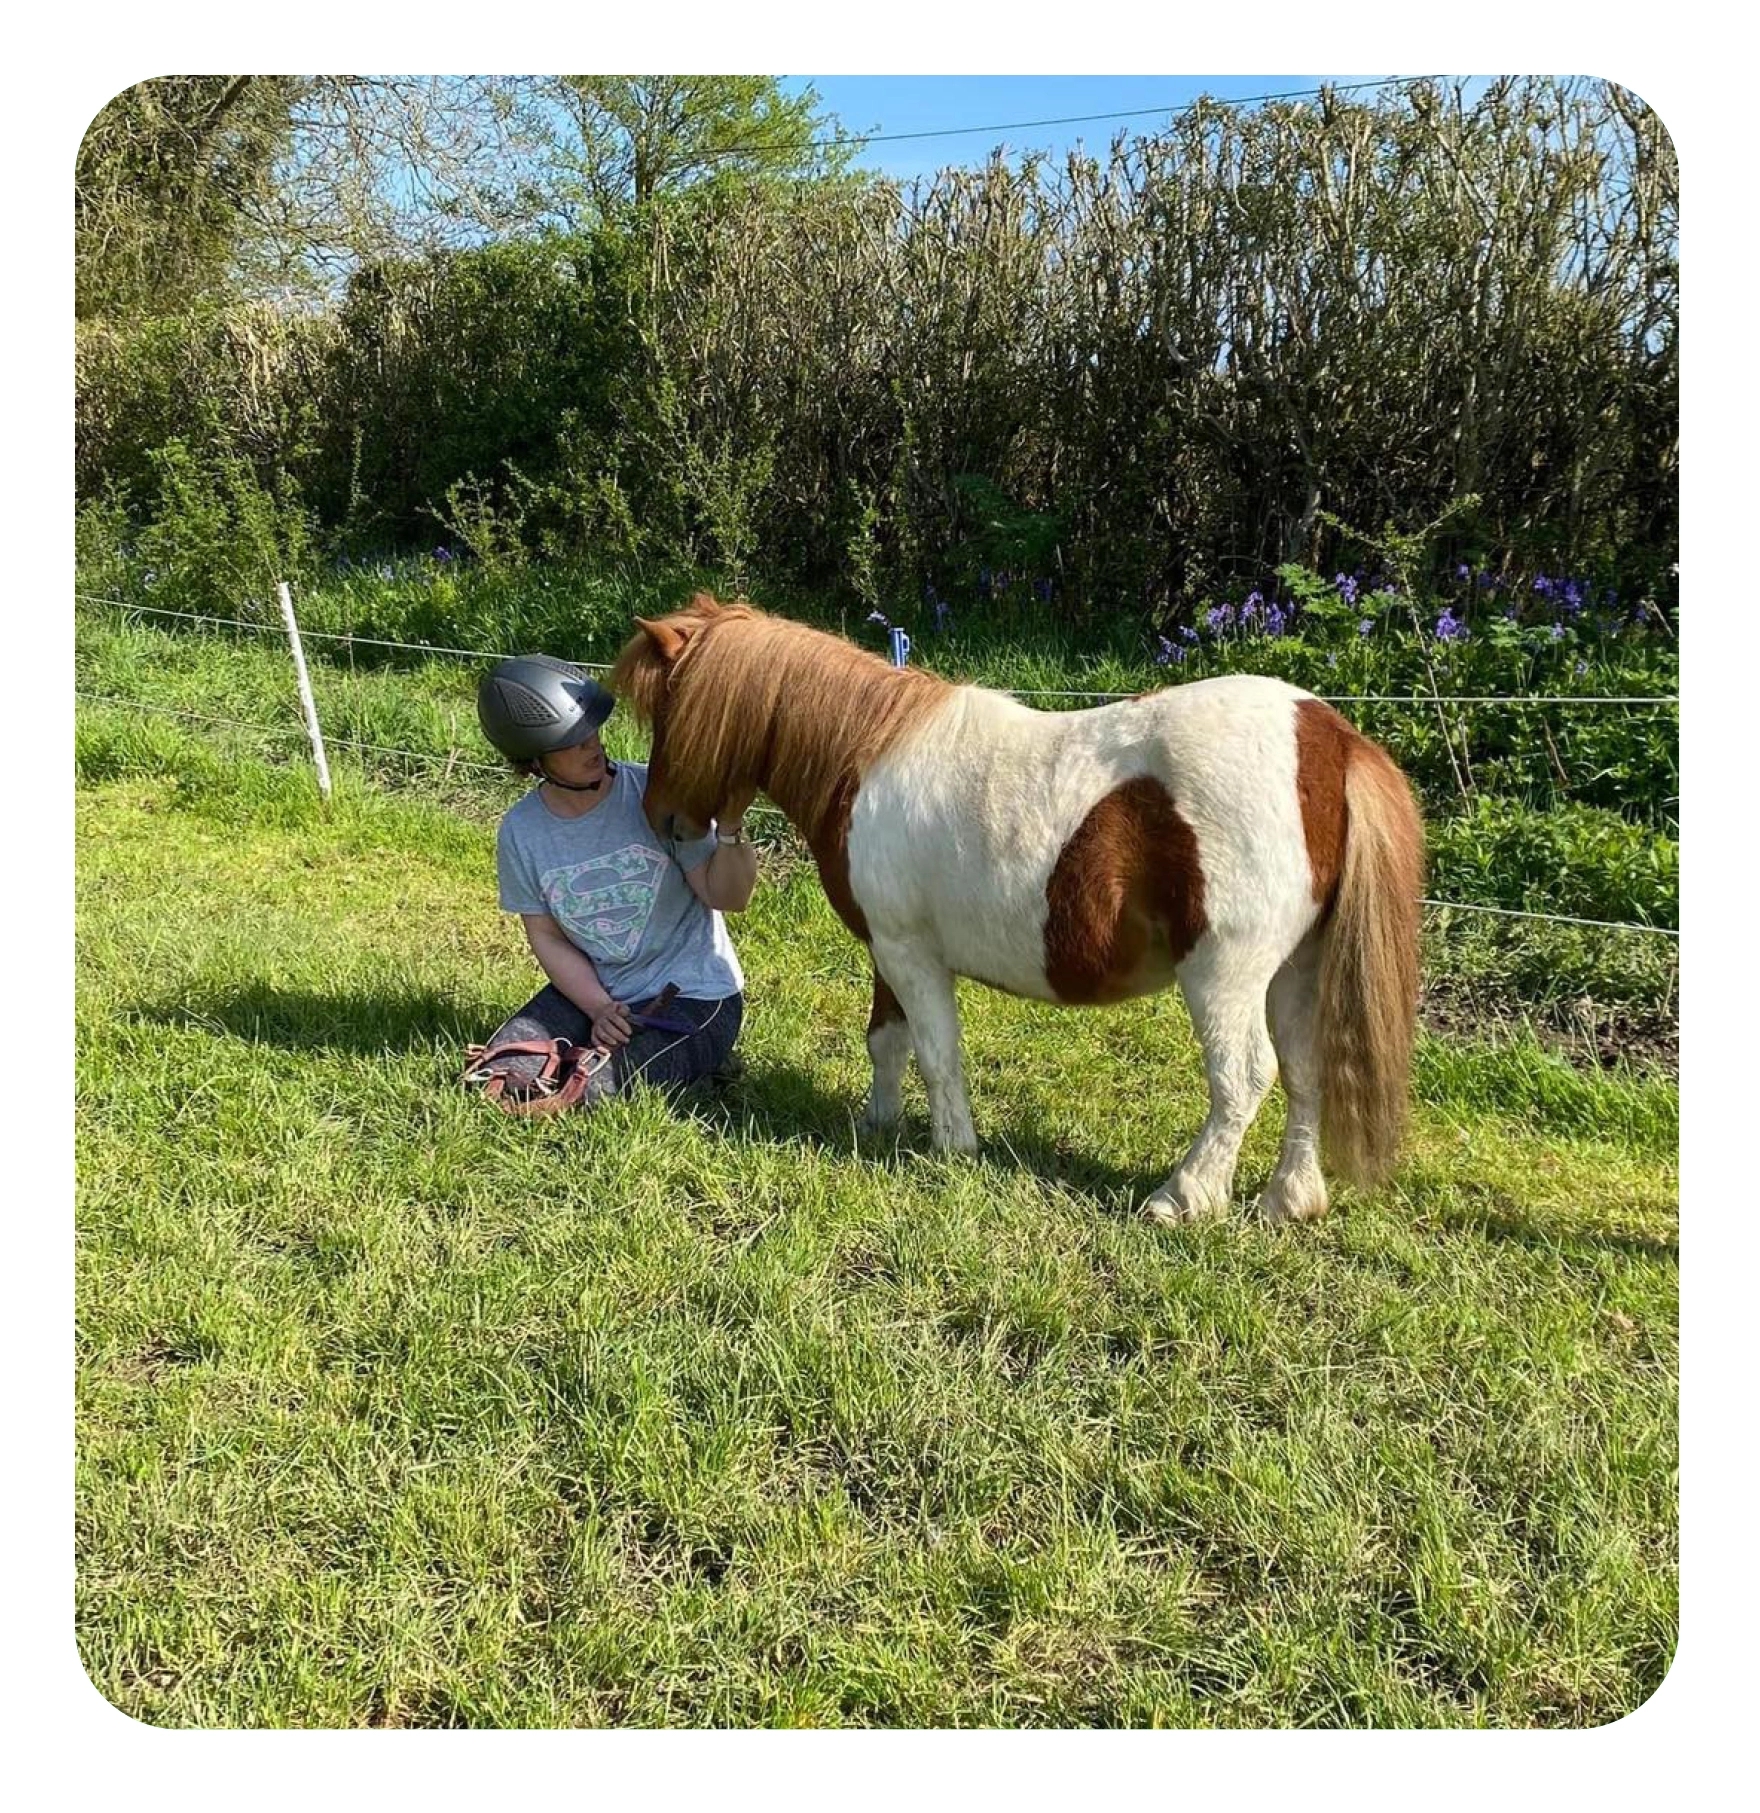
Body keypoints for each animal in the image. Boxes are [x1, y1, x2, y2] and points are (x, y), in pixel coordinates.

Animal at [612, 594, 1421, 1232]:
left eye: (670, 713)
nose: (660, 821)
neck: (864, 756)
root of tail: (1329, 740)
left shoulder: (909, 951)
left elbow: (935, 1052)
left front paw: (951, 1149)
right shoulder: (887, 949)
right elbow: (887, 1042)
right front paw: (877, 1125)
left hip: (1226, 975)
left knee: (1244, 1077)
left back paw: (1184, 1197)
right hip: (1294, 970)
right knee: (1305, 1067)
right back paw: (1289, 1200)